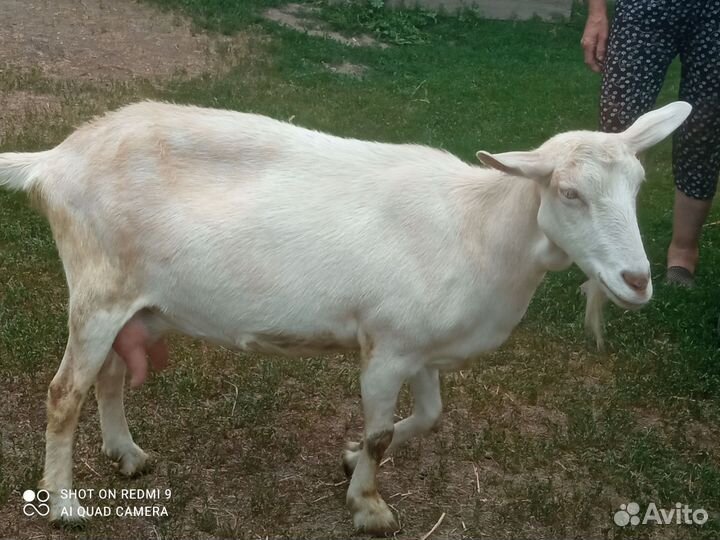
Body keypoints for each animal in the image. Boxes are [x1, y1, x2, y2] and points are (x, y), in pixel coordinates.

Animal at [0, 100, 690, 533]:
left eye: (636, 186)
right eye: (569, 193)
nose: (636, 281)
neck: (477, 227)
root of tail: (54, 160)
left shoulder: (420, 345)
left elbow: (429, 417)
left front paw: (349, 454)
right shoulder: (385, 347)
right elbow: (384, 434)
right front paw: (368, 505)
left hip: (136, 305)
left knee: (111, 378)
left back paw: (128, 454)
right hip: (97, 292)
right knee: (64, 393)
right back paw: (64, 506)